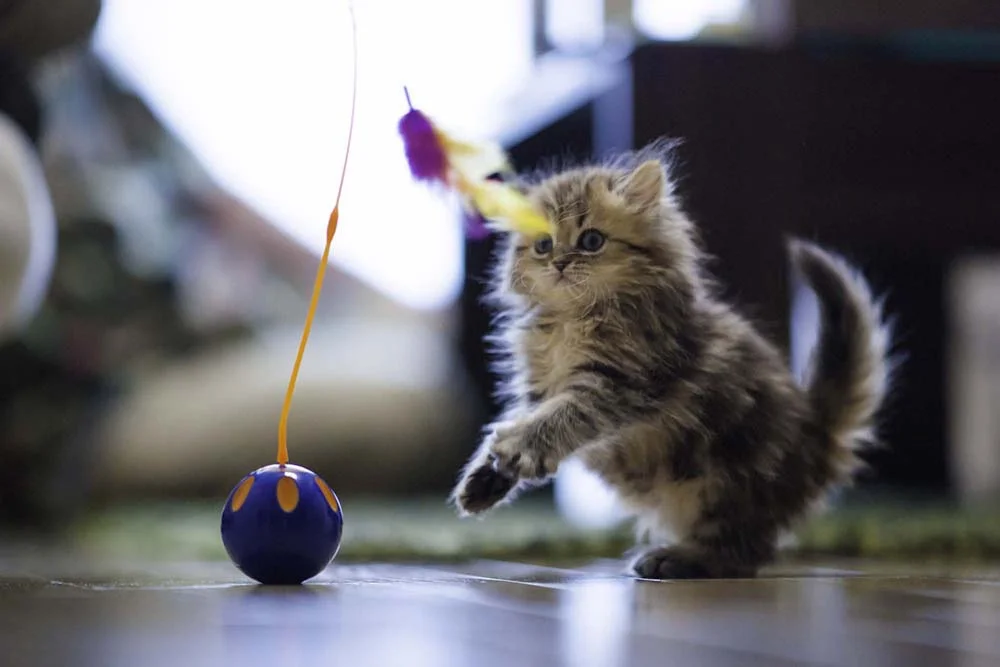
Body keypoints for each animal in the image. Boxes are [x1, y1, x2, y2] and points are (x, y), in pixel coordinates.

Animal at [450, 142, 896, 580]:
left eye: (591, 241)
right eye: (543, 244)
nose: (559, 262)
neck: (574, 319)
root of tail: (818, 432)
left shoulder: (622, 382)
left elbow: (558, 418)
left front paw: (517, 447)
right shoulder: (539, 390)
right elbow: (519, 424)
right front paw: (485, 479)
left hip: (724, 479)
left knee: (744, 552)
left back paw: (677, 559)